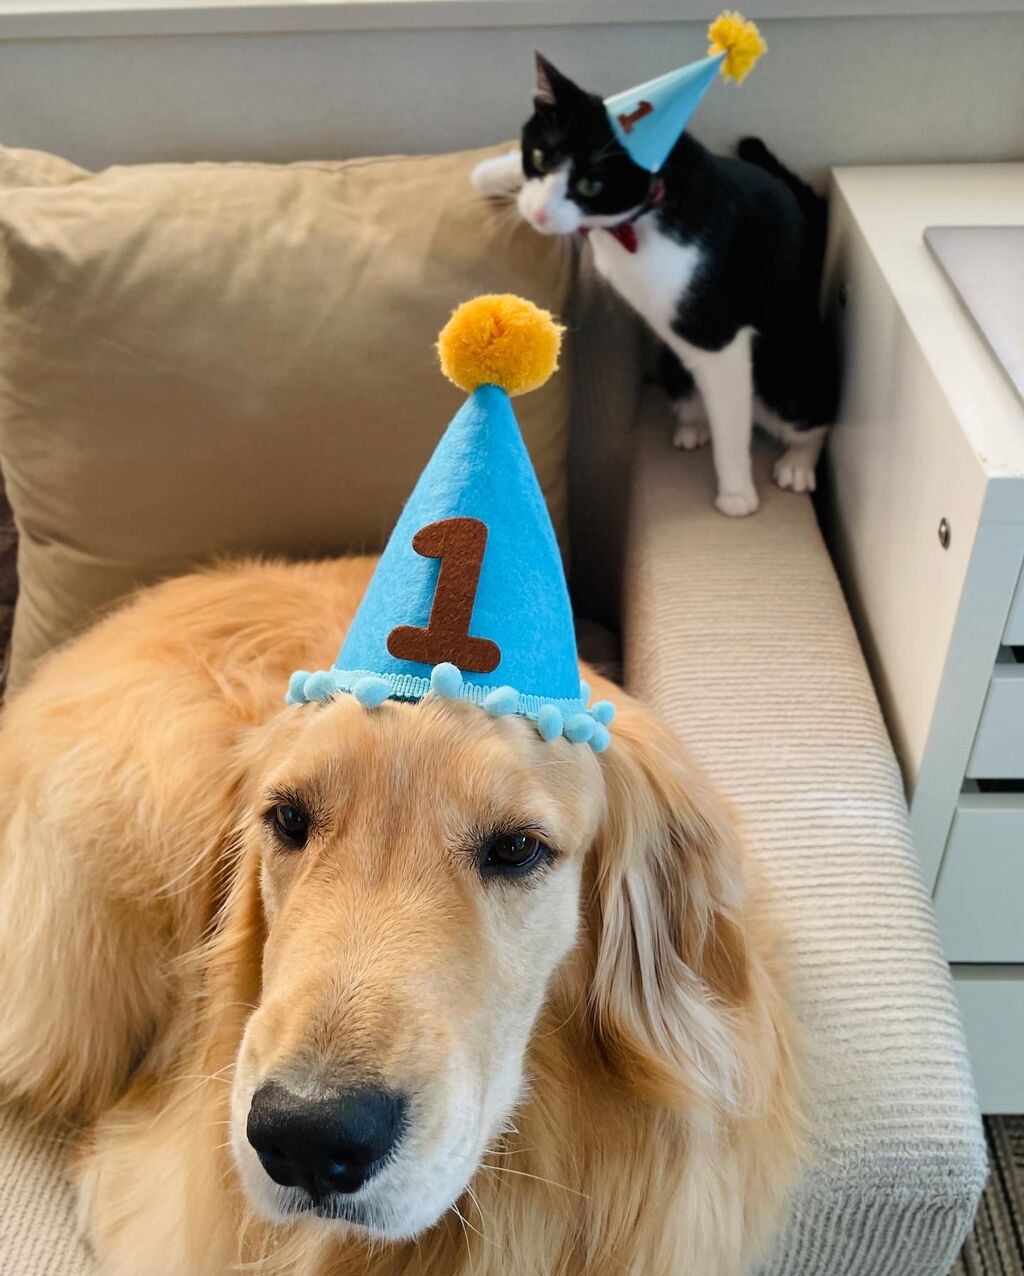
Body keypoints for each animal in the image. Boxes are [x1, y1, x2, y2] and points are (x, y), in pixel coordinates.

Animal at [471, 55, 839, 517]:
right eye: (539, 157)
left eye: (592, 184)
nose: (537, 214)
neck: (638, 220)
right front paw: (489, 172)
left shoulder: (717, 334)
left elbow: (732, 421)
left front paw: (736, 493)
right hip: (673, 366)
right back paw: (694, 424)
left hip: (791, 368)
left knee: (807, 414)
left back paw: (796, 463)